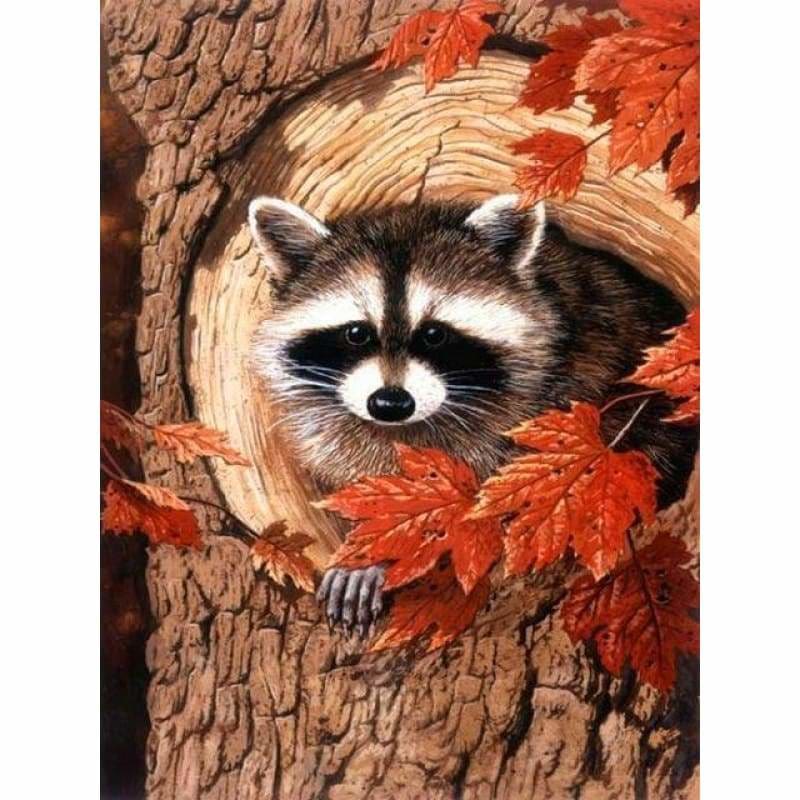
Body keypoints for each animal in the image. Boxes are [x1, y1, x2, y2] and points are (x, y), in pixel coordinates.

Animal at [248, 195, 699, 633]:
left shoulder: (566, 393)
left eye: (434, 334)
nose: (390, 404)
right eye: (356, 333)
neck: (406, 431)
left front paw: (378, 557)